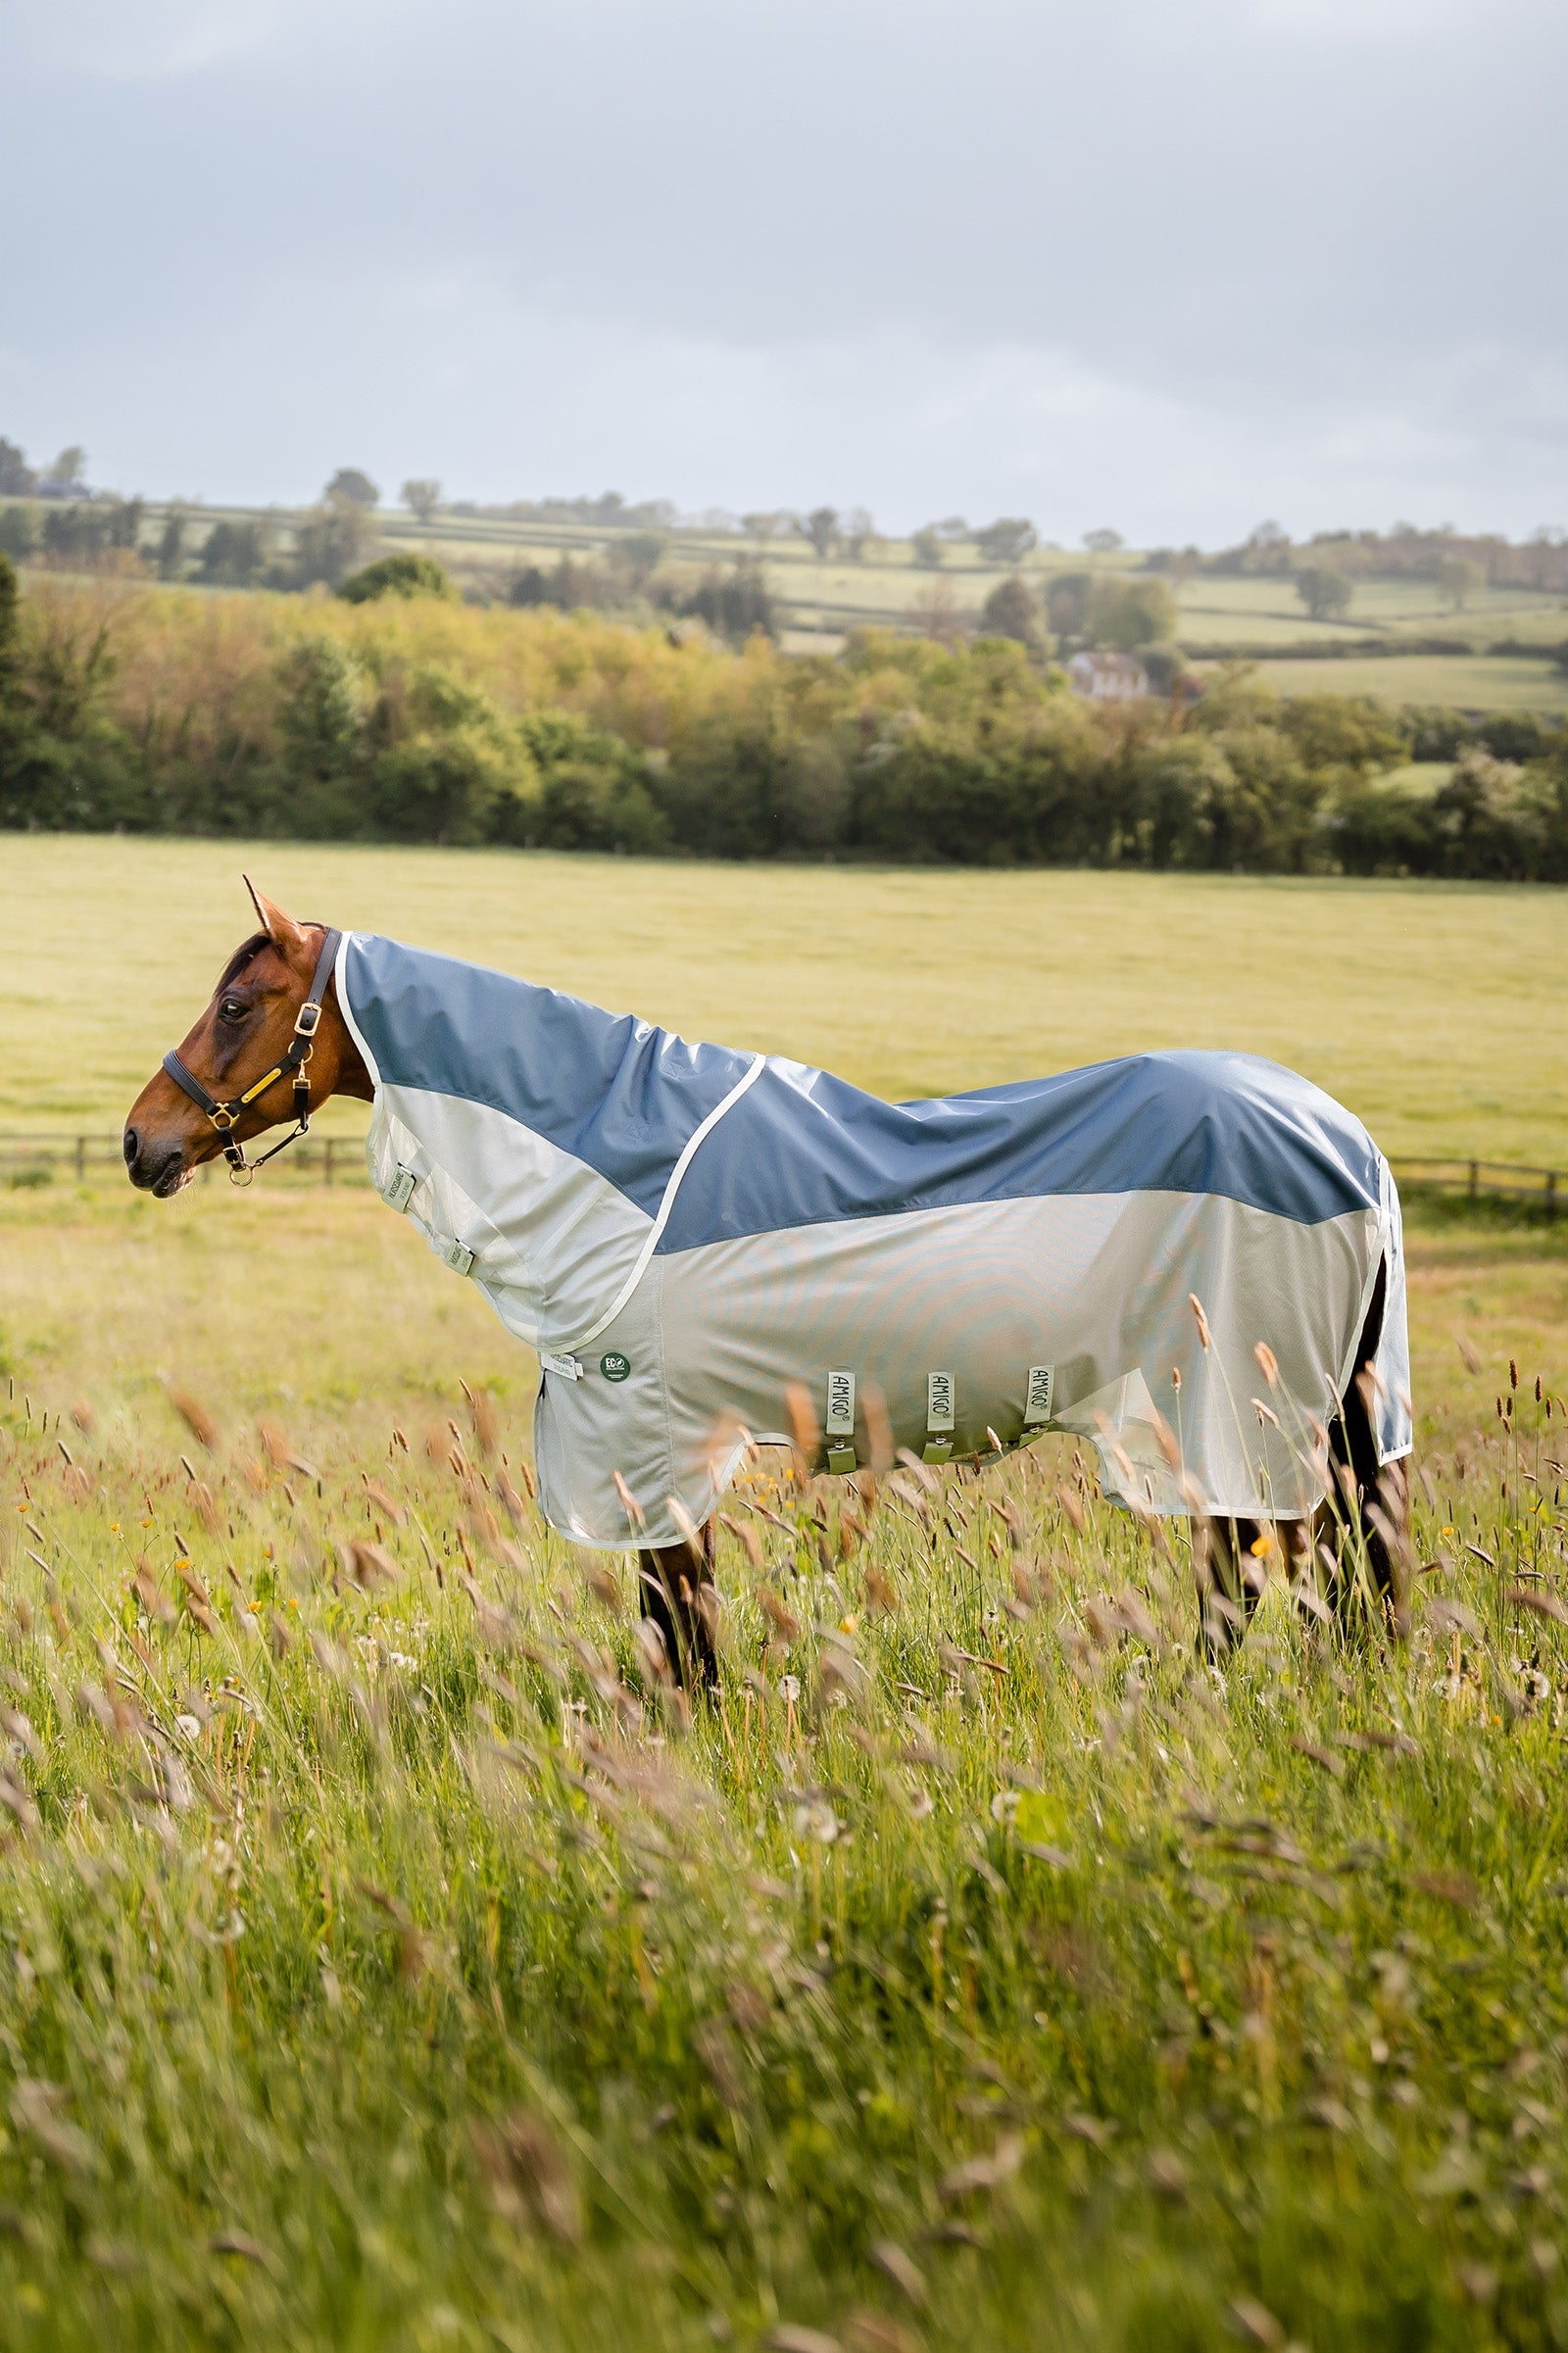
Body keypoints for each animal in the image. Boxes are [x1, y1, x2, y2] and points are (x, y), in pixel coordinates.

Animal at [125, 882, 1413, 1685]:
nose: (141, 1142)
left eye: (236, 1005)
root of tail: (1345, 1142)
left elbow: (678, 1615)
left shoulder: (647, 1441)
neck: (612, 1152)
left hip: (1229, 1405)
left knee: (1260, 1563)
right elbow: (675, 1615)